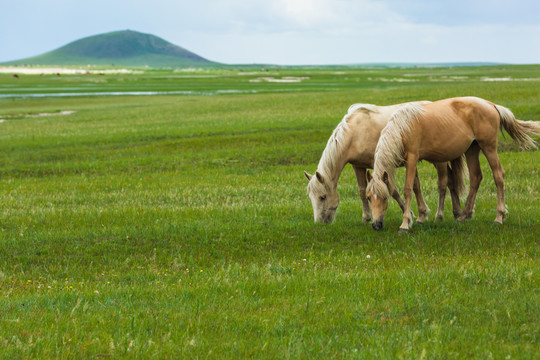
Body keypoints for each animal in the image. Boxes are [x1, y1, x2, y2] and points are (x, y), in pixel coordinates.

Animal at [304, 102, 464, 225]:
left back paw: (439, 215)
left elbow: (392, 190)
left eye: (322, 197)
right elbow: (362, 191)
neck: (356, 133)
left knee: (443, 184)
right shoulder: (358, 166)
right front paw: (366, 218)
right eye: (310, 197)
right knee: (451, 182)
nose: (319, 222)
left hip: (439, 160)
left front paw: (410, 214)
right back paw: (457, 213)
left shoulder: (379, 165)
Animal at [368, 95, 540, 232]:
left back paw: (499, 217)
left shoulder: (412, 158)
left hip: (489, 146)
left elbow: (408, 189)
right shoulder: (410, 161)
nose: (376, 225)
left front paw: (404, 225)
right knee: (475, 177)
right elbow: (416, 187)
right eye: (369, 198)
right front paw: (419, 218)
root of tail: (491, 105)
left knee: (498, 175)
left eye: (385, 198)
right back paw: (464, 215)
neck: (403, 128)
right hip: (472, 149)